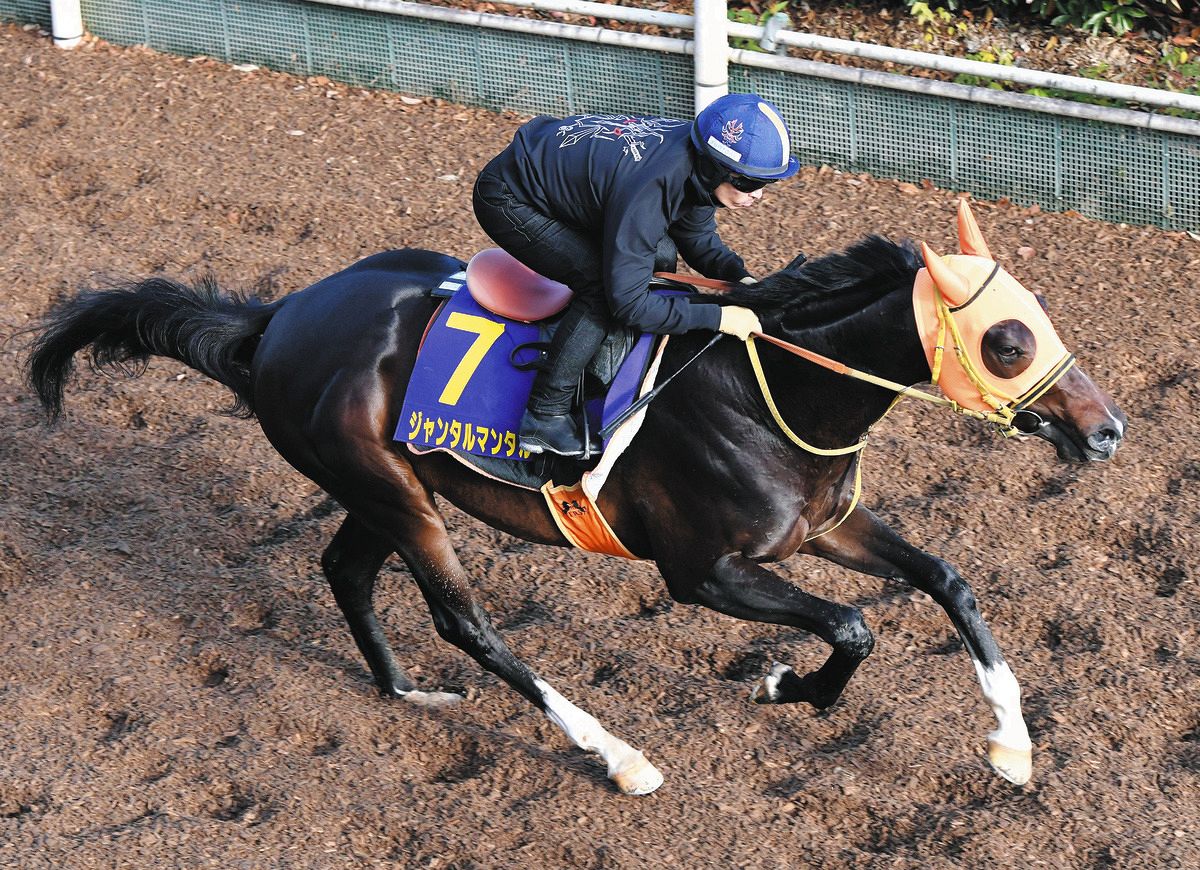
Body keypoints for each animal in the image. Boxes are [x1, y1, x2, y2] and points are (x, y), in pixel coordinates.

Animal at [23, 201, 1123, 792]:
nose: (1107, 429)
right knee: (465, 622)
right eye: (1005, 340)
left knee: (345, 570)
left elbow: (946, 579)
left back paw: (403, 689)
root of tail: (275, 320)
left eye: (1041, 316)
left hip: (382, 488)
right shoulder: (701, 572)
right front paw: (782, 686)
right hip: (395, 492)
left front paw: (1014, 749)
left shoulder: (827, 522)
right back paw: (618, 755)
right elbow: (852, 627)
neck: (766, 386)